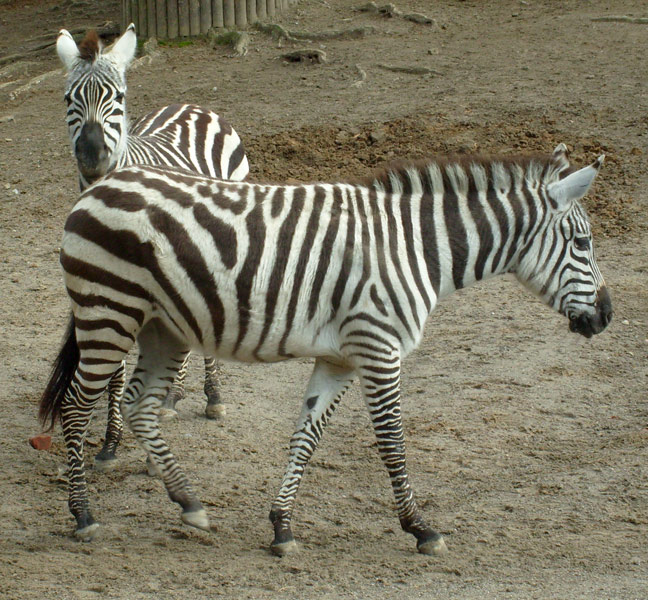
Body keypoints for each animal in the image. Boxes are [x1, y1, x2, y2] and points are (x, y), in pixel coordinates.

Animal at [39, 144, 612, 552]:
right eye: (582, 244)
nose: (607, 316)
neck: (416, 249)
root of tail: (100, 186)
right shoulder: (379, 347)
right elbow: (391, 442)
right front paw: (419, 527)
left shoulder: (340, 358)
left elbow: (307, 436)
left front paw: (281, 525)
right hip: (110, 312)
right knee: (76, 406)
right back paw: (83, 515)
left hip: (163, 327)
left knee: (139, 405)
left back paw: (189, 502)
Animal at [56, 24, 248, 468]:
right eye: (69, 99)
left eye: (118, 98)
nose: (91, 156)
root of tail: (191, 105)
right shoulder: (106, 286)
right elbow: (117, 369)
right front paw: (111, 442)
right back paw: (173, 396)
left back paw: (211, 396)